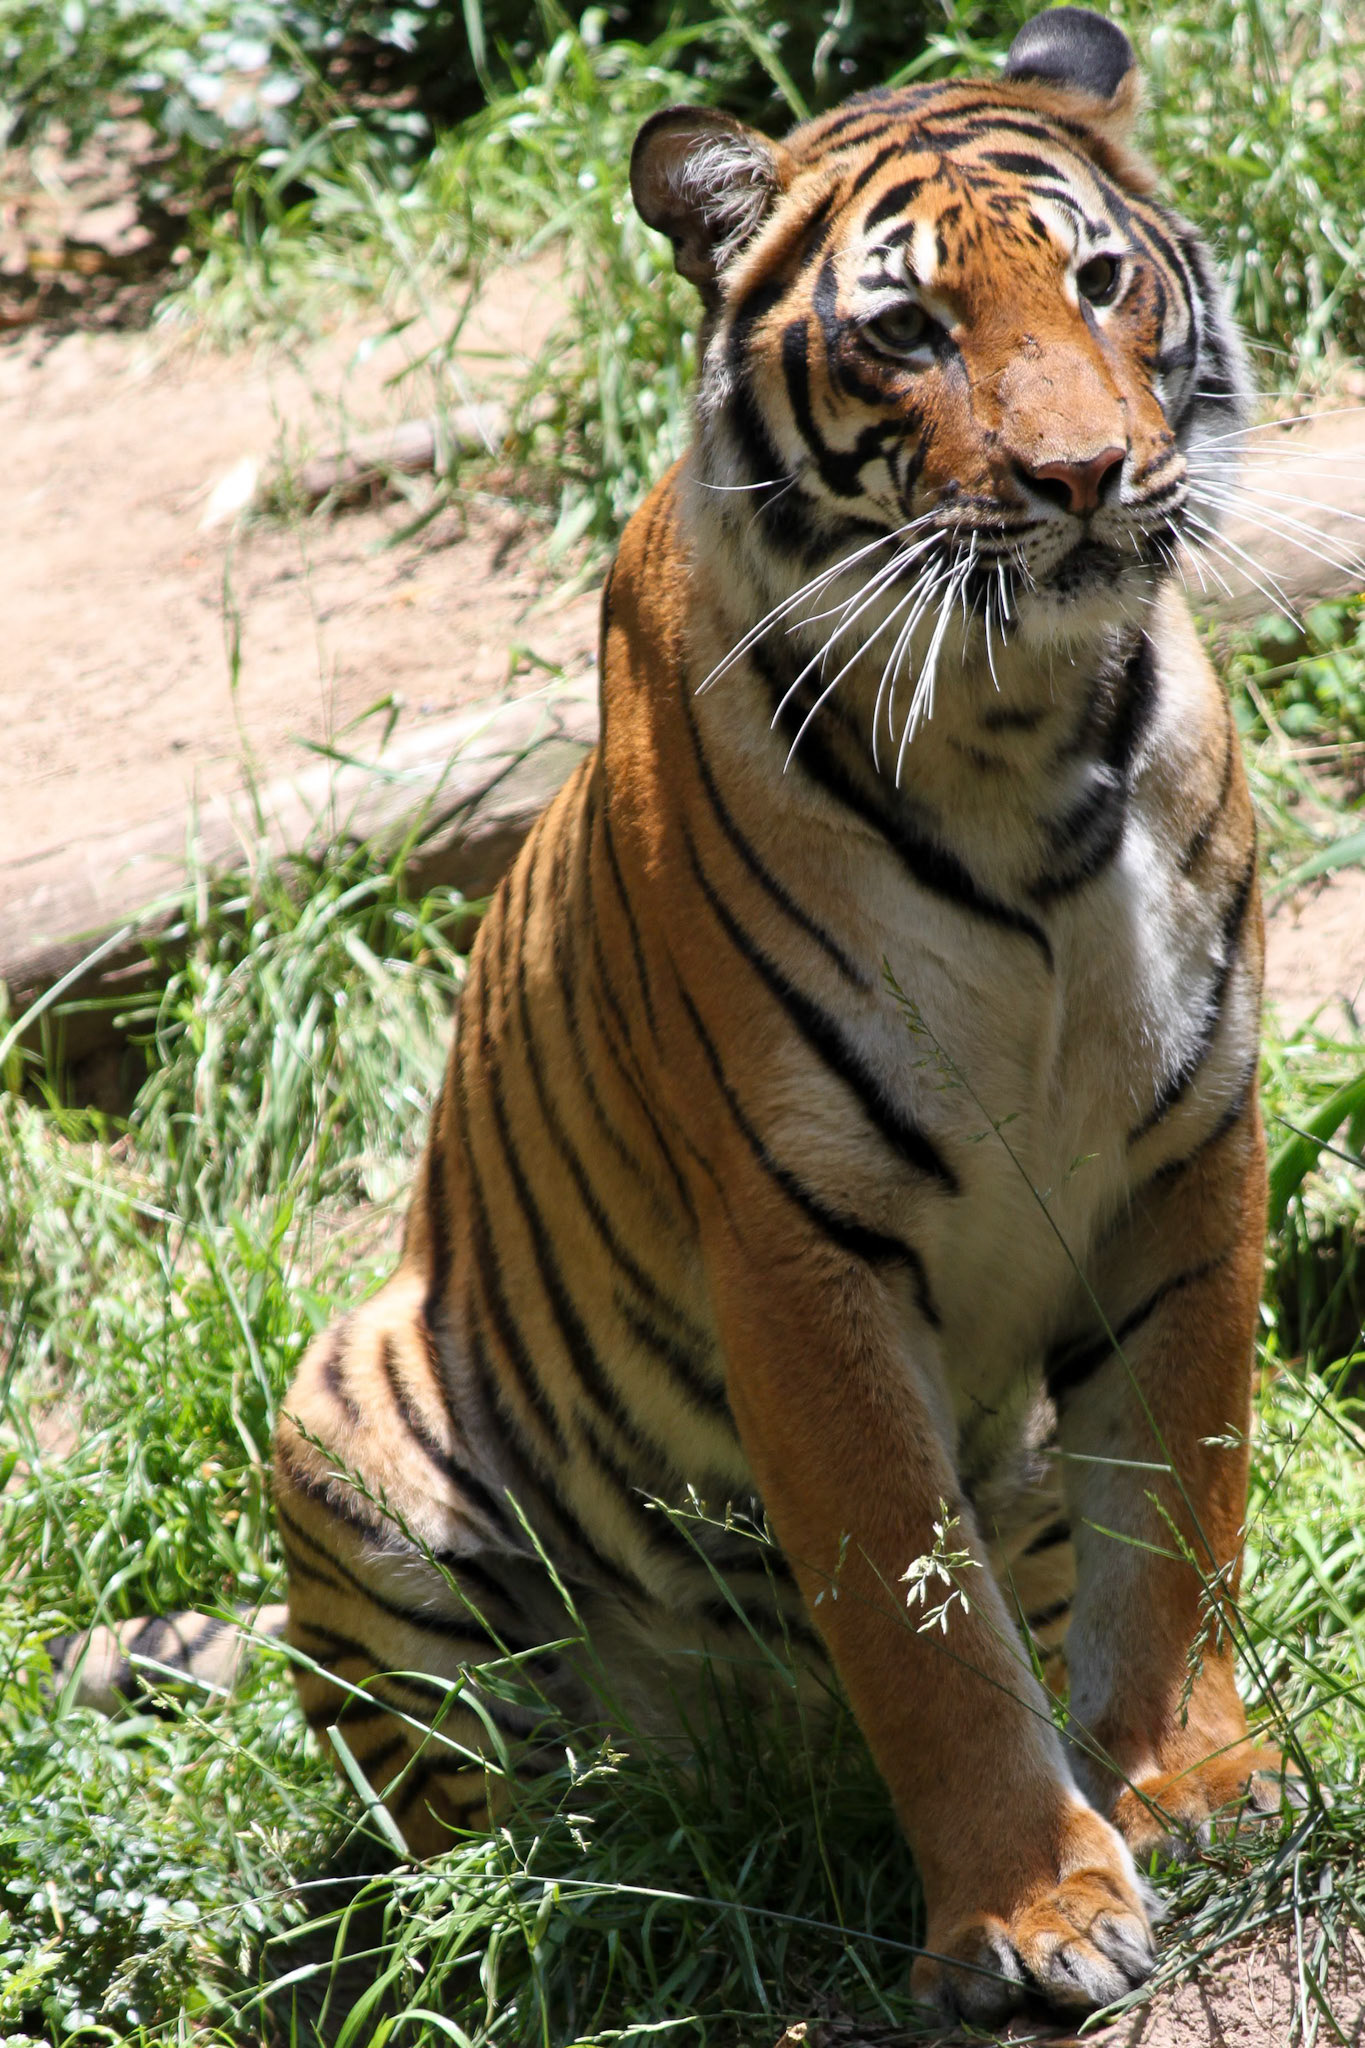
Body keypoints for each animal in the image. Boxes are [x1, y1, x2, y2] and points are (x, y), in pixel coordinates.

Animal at [64, 6, 1292, 2024]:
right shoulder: (798, 1238)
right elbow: (915, 1615)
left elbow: (1177, 1511)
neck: (1022, 728)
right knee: (455, 1839)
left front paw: (1185, 1778)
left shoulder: (1188, 1160)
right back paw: (604, 1855)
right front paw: (1029, 1907)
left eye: (1101, 281)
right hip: (353, 1423)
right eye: (909, 329)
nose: (1089, 476)